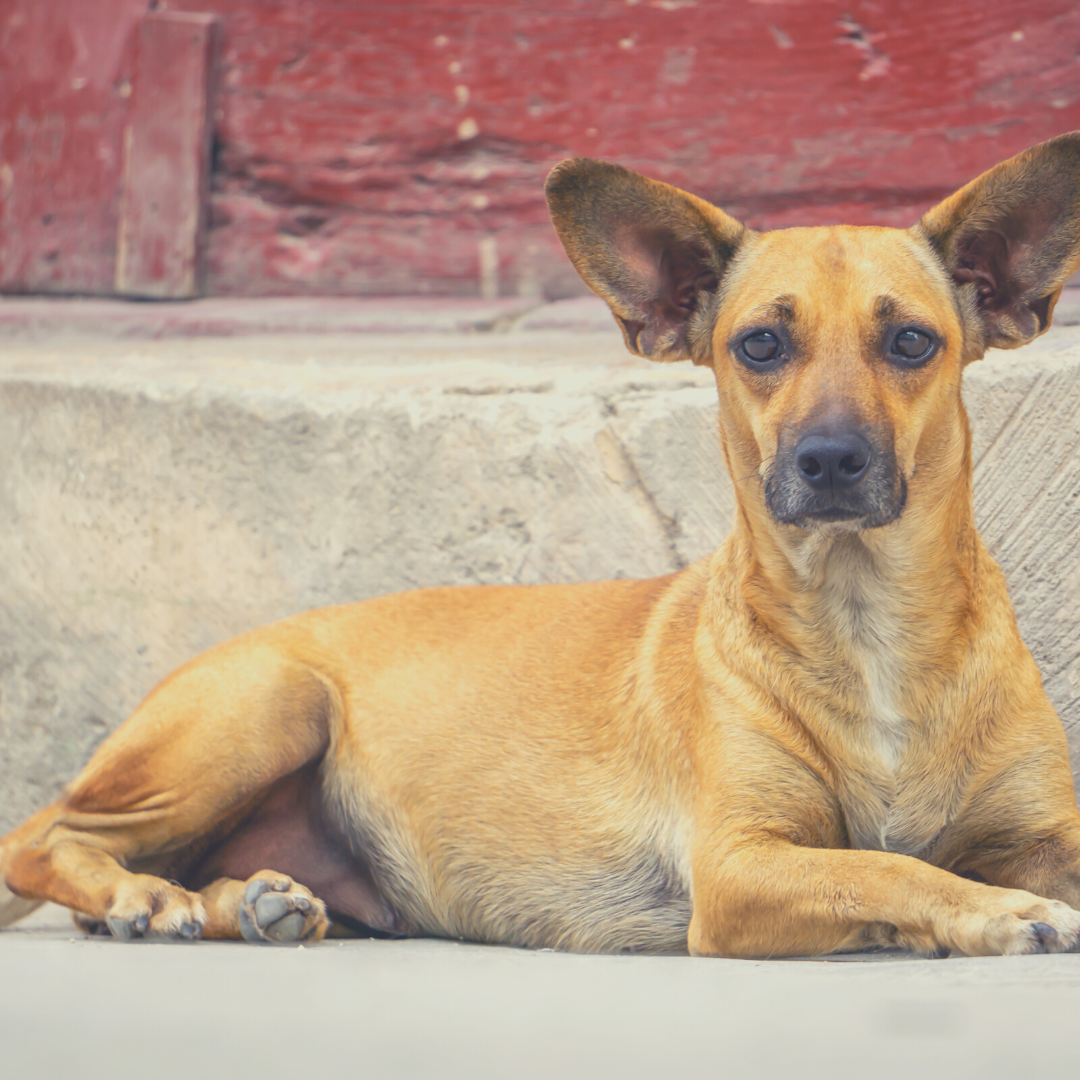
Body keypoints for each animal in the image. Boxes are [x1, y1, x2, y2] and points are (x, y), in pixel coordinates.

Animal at [2, 132, 1080, 954]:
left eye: (911, 343)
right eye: (761, 345)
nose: (829, 459)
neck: (867, 618)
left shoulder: (1043, 826)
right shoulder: (741, 865)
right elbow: (886, 869)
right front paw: (995, 911)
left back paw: (247, 902)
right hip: (272, 702)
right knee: (42, 835)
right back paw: (141, 896)